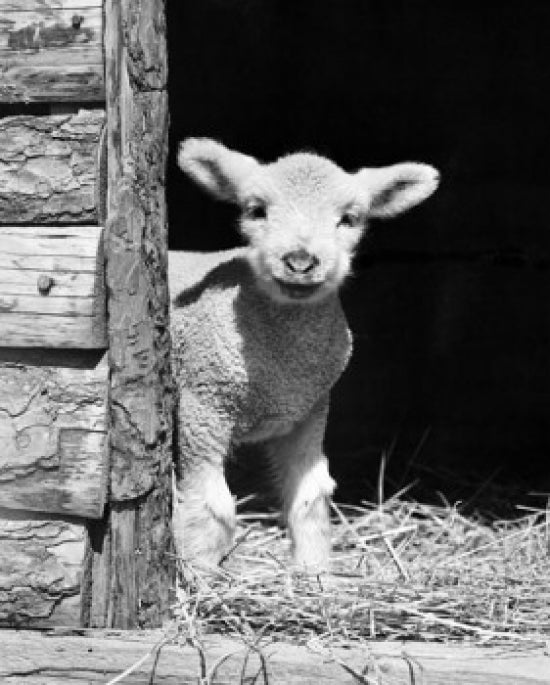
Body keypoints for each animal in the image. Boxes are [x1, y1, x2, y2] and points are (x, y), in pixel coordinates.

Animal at [170, 138, 439, 571]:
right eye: (256, 210)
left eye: (349, 218)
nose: (300, 262)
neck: (283, 371)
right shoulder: (202, 404)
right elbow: (211, 508)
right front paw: (199, 575)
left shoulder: (309, 411)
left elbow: (310, 499)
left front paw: (315, 573)